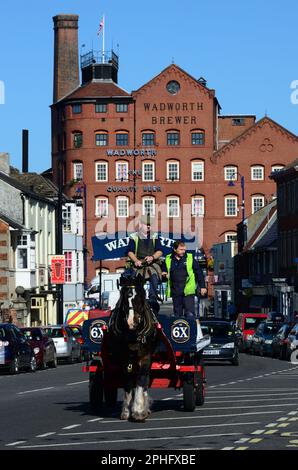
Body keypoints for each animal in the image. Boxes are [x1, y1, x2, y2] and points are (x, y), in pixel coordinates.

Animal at [107, 268, 158, 422]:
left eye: (140, 297)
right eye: (124, 298)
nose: (131, 322)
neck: (133, 334)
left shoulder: (145, 356)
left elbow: (141, 380)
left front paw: (139, 410)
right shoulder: (124, 359)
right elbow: (129, 383)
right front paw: (126, 410)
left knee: (144, 378)